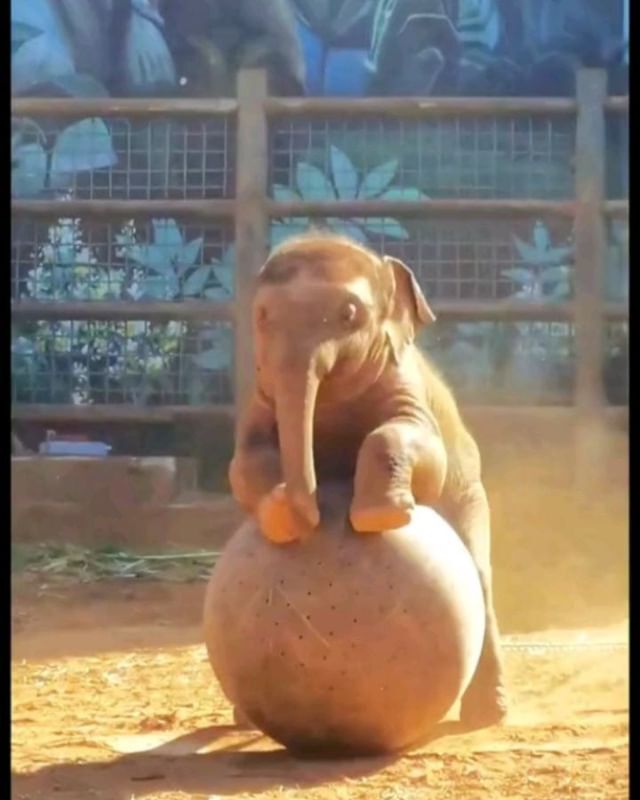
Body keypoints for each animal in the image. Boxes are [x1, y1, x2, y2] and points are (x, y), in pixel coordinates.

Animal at [229, 230, 504, 724]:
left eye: (349, 314)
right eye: (261, 316)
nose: (313, 515)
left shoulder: (403, 383)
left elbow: (420, 449)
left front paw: (379, 516)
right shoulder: (259, 396)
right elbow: (243, 462)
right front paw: (281, 516)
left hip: (471, 491)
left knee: (478, 571)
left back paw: (489, 714)